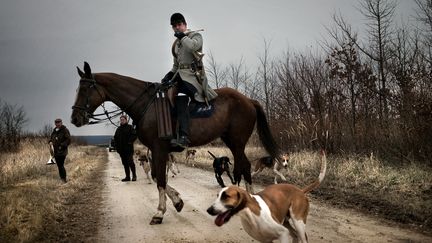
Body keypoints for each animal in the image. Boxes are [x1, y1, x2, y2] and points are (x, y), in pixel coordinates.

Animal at [70, 61, 280, 225]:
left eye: (85, 88)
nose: (74, 118)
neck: (147, 105)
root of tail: (248, 100)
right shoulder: (155, 150)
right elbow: (157, 176)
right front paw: (177, 201)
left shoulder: (159, 148)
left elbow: (160, 180)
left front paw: (159, 213)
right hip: (231, 141)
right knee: (243, 167)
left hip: (237, 142)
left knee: (243, 167)